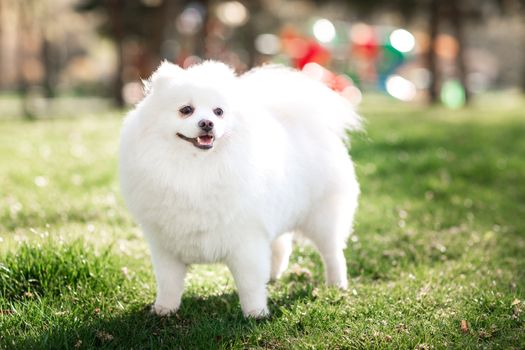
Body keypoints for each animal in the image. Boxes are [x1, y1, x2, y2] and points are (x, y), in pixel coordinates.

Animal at [118, 60, 360, 320]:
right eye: (186, 110)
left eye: (218, 111)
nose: (207, 123)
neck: (197, 170)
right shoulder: (165, 245)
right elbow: (168, 282)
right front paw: (164, 310)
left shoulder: (246, 241)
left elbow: (249, 284)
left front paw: (256, 313)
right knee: (281, 246)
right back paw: (273, 276)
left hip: (322, 218)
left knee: (332, 253)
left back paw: (337, 284)